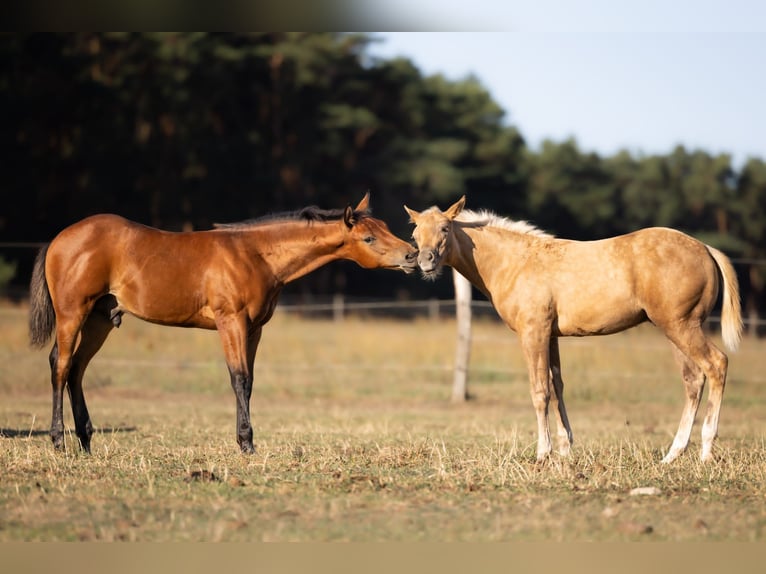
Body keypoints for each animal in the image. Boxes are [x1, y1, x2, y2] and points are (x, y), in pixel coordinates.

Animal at [28, 193, 418, 454]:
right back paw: (59, 441)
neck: (256, 255)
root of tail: (59, 239)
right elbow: (238, 378)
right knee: (61, 365)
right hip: (72, 314)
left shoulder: (255, 329)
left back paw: (86, 440)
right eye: (368, 238)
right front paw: (246, 443)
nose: (413, 255)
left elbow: (250, 382)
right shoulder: (232, 322)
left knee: (77, 369)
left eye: (385, 227)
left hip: (101, 320)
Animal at [404, 196, 743, 464]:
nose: (425, 262)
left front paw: (543, 453)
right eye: (415, 233)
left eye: (445, 228)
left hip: (681, 328)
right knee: (693, 379)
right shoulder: (551, 336)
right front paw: (565, 449)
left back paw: (705, 451)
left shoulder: (533, 334)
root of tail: (706, 249)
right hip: (675, 330)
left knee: (716, 365)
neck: (515, 261)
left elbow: (539, 391)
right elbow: (557, 388)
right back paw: (673, 454)